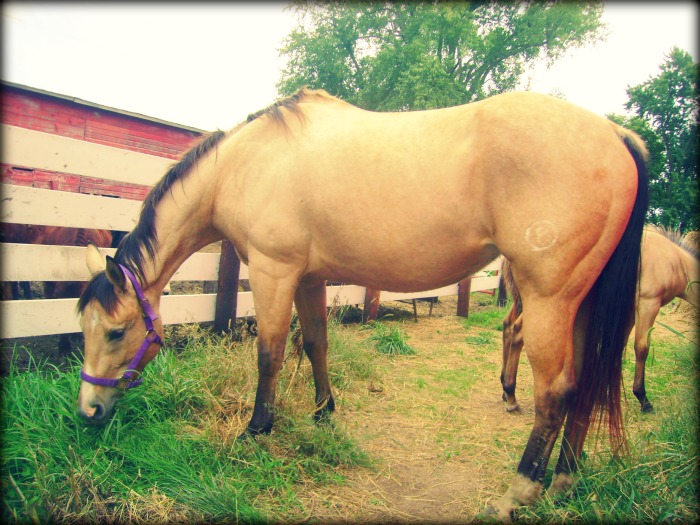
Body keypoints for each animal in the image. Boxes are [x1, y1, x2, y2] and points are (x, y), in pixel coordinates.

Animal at [74, 88, 648, 516]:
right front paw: (324, 413)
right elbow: (316, 344)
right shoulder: (308, 278)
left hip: (549, 299)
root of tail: (616, 135)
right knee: (585, 385)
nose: (89, 410)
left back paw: (520, 491)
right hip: (581, 304)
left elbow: (270, 353)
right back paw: (563, 481)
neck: (245, 162)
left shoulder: (273, 271)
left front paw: (256, 429)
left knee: (555, 392)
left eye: (117, 331)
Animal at [500, 223, 696, 416]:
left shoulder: (629, 310)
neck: (674, 260)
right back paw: (511, 395)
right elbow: (641, 349)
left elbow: (617, 346)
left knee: (509, 326)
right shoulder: (648, 304)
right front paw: (643, 398)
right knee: (518, 331)